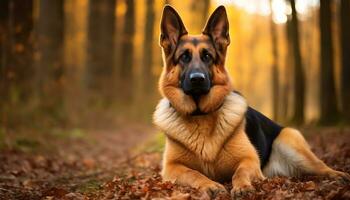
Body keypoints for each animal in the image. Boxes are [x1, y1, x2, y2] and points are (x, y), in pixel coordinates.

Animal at [153, 4, 350, 198]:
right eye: (184, 57)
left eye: (207, 56)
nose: (197, 79)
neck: (200, 115)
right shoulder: (171, 168)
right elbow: (193, 173)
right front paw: (210, 185)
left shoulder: (249, 159)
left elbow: (240, 172)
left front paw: (242, 187)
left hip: (290, 144)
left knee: (321, 166)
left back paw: (339, 175)